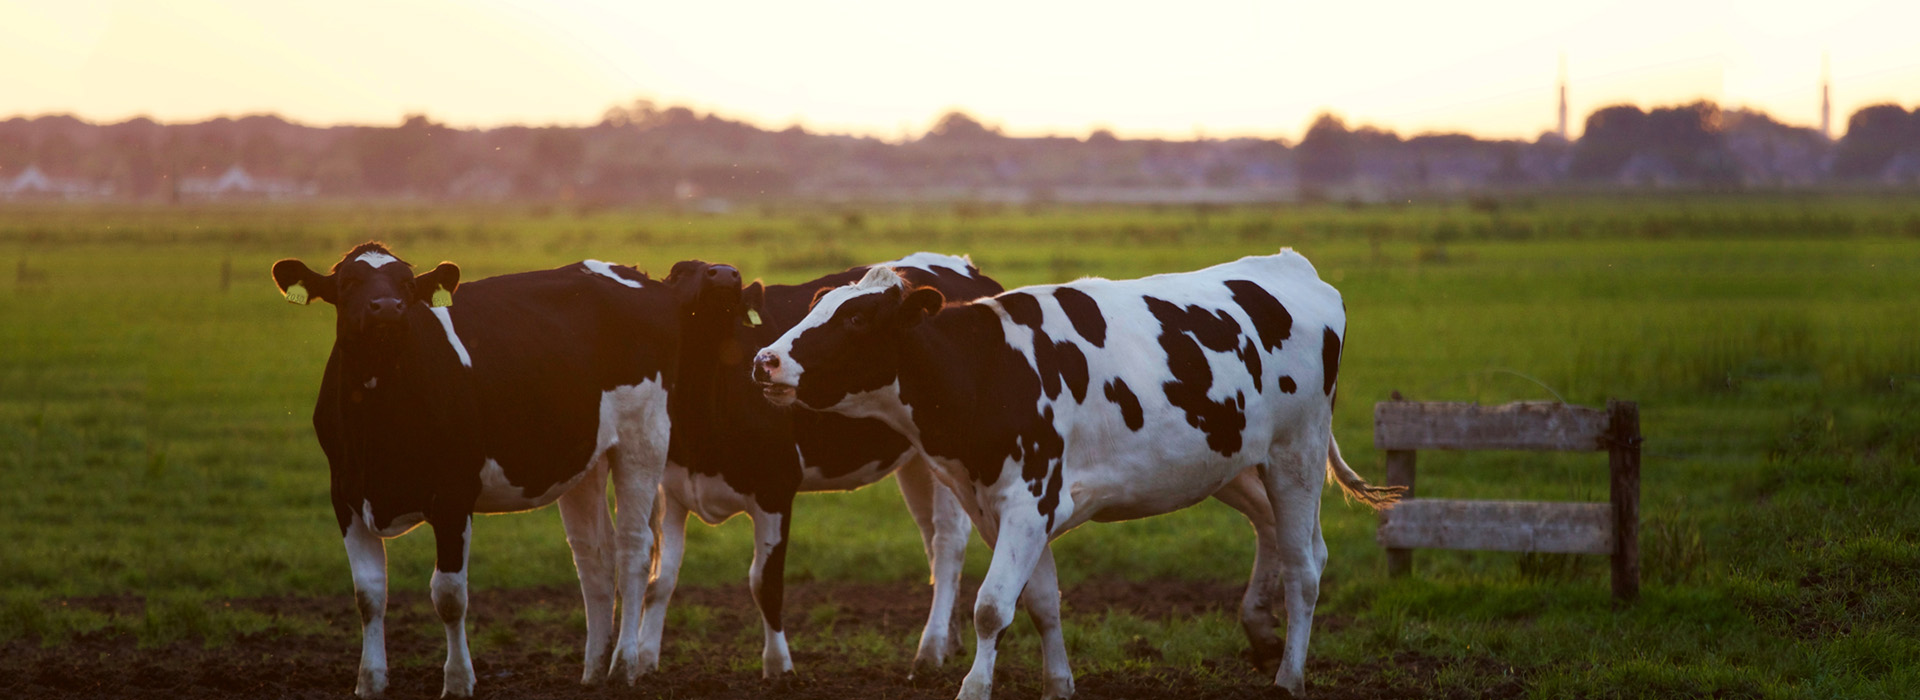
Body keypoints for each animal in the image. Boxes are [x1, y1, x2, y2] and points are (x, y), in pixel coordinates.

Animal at [263, 242, 725, 694]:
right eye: (349, 283)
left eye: (407, 284)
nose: (388, 308)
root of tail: (638, 275)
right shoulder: (345, 496)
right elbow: (368, 594)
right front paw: (370, 681)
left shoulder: (453, 496)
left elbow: (449, 596)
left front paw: (457, 681)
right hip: (585, 457)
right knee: (595, 555)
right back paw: (593, 670)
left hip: (643, 438)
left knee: (634, 549)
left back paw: (623, 665)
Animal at [645, 253, 1006, 675]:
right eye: (679, 273)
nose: (724, 275)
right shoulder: (672, 490)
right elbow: (660, 580)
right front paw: (638, 661)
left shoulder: (775, 487)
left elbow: (765, 583)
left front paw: (779, 667)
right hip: (919, 462)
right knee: (931, 539)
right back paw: (949, 642)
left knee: (948, 543)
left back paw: (930, 650)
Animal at [748, 251, 1397, 698]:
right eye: (816, 306)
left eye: (856, 319)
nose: (764, 360)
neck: (987, 368)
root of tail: (1292, 266)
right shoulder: (1000, 507)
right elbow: (1041, 602)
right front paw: (1058, 683)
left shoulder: (1029, 500)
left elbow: (991, 607)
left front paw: (973, 688)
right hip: (1231, 461)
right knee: (1282, 536)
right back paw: (1261, 634)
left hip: (1296, 452)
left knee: (1305, 566)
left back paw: (1289, 676)